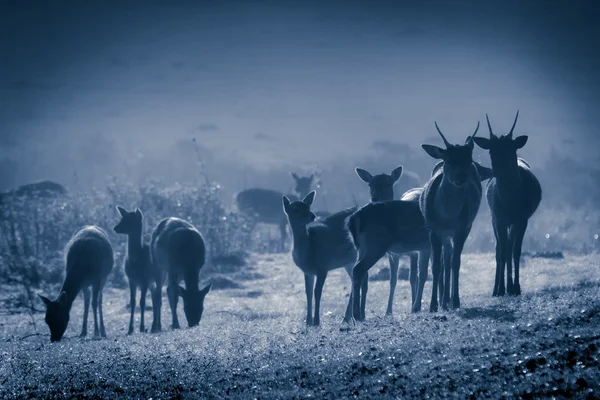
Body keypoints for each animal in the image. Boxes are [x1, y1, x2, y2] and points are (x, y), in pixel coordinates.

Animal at [280, 192, 356, 326]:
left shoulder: (323, 267)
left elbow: (317, 292)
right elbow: (308, 293)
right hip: (349, 262)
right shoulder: (307, 271)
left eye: (308, 207)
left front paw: (316, 321)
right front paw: (308, 322)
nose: (312, 215)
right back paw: (348, 318)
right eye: (295, 209)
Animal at [420, 120, 486, 310]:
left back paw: (447, 301)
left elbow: (456, 264)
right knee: (444, 262)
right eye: (448, 160)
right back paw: (443, 302)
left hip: (456, 232)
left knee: (449, 262)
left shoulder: (462, 228)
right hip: (443, 235)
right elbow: (436, 266)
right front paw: (432, 305)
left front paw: (456, 301)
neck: (447, 217)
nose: (461, 178)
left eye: (469, 159)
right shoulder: (433, 230)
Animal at [474, 111, 544, 296]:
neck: (510, 202)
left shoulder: (522, 218)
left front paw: (516, 287)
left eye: (510, 149)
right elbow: (503, 251)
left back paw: (509, 287)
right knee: (500, 248)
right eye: (491, 150)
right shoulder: (499, 218)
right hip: (494, 218)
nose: (497, 171)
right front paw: (500, 289)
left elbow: (516, 251)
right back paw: (498, 288)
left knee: (510, 246)